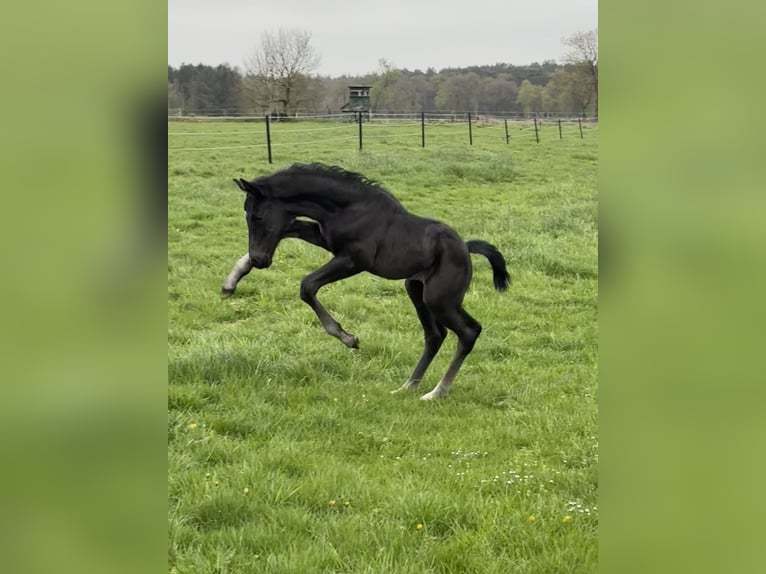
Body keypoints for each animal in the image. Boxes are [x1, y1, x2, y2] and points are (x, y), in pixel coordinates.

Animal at [225, 163, 510, 400]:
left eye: (257, 216)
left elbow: (307, 286)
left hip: (440, 299)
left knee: (468, 332)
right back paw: (408, 386)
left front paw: (347, 338)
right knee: (435, 335)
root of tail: (465, 248)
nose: (260, 259)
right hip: (416, 290)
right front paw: (231, 282)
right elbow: (290, 228)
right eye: (246, 215)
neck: (348, 207)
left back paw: (436, 392)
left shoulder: (354, 260)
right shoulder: (325, 238)